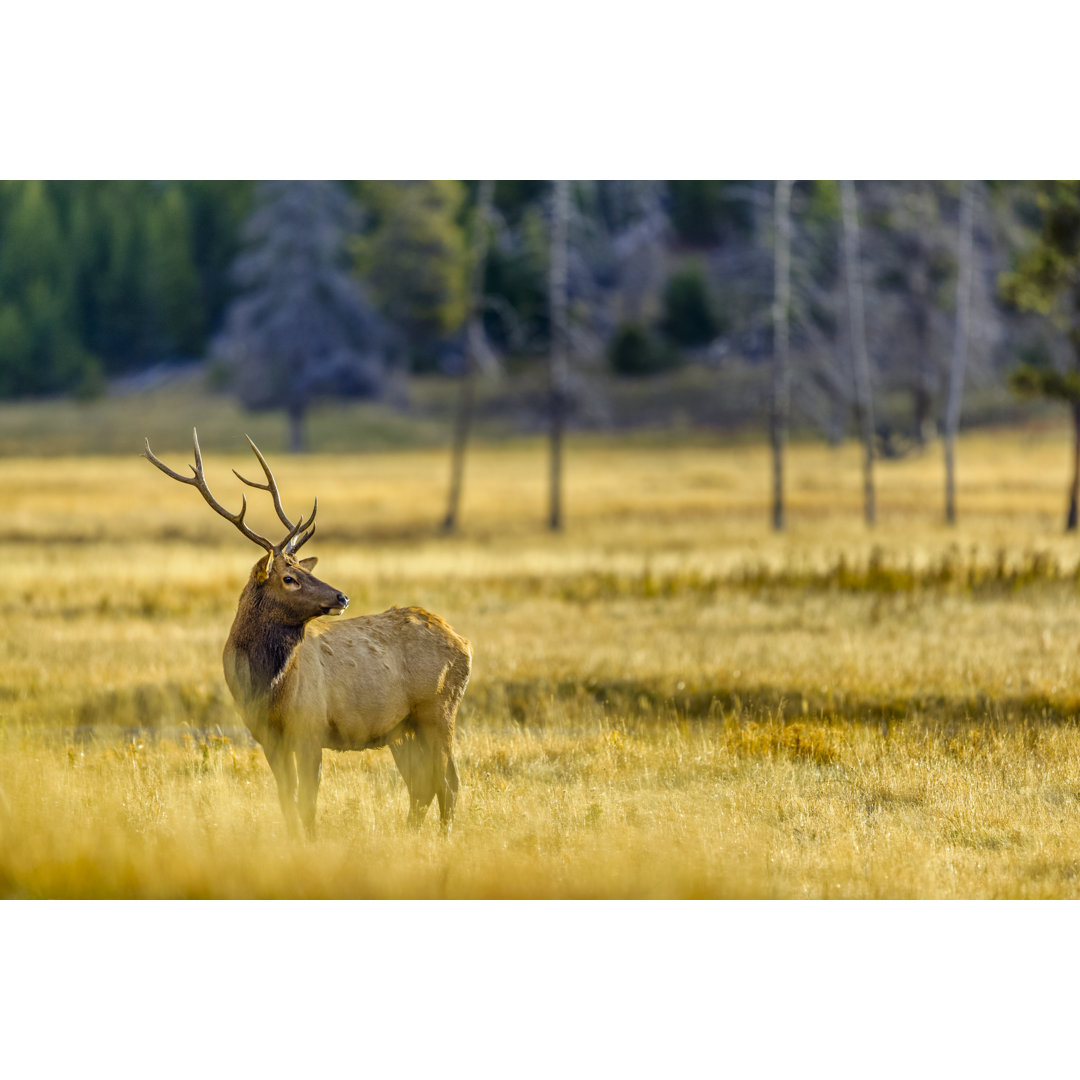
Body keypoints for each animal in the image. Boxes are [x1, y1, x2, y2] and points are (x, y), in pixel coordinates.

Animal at [141, 427, 470, 833]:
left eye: (303, 569)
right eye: (289, 577)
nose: (342, 596)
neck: (267, 688)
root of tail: (464, 643)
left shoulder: (310, 728)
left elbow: (307, 801)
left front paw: (311, 840)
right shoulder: (267, 736)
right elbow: (287, 798)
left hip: (438, 710)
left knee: (448, 783)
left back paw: (443, 837)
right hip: (402, 727)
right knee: (422, 786)